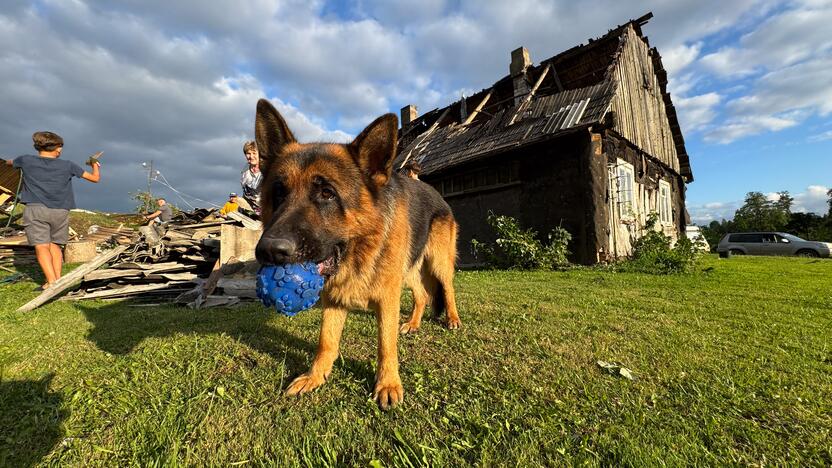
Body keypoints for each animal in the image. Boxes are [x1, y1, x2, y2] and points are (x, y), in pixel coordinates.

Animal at [254, 99, 462, 410]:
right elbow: (326, 341)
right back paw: (413, 324)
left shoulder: (387, 297)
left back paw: (452, 319)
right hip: (408, 271)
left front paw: (388, 384)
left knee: (447, 289)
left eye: (327, 193)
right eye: (278, 192)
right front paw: (315, 376)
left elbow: (386, 344)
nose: (269, 250)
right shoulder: (333, 298)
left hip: (438, 263)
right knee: (423, 294)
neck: (359, 252)